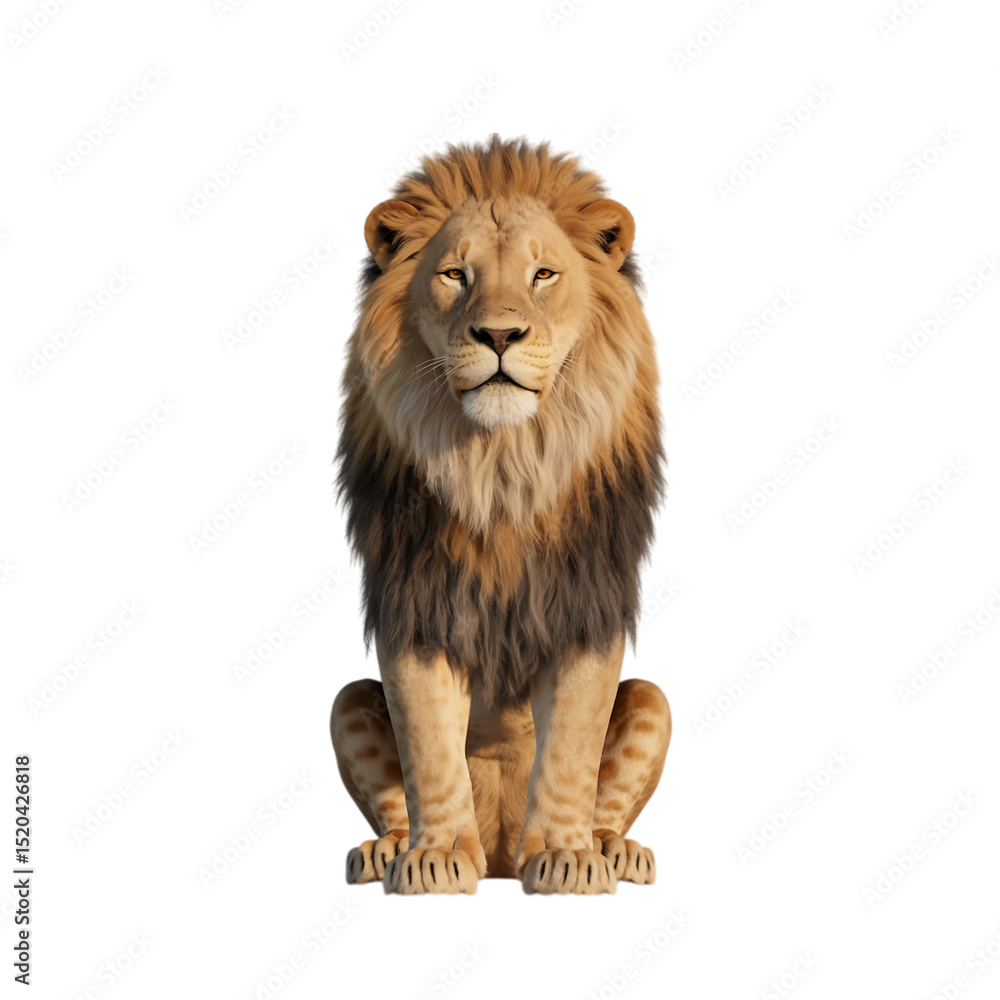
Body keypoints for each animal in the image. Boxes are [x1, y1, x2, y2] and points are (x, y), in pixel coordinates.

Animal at [330, 136, 671, 894]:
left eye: (543, 274)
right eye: (455, 274)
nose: (498, 334)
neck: (503, 466)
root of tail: (503, 855)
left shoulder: (586, 604)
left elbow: (572, 744)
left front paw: (569, 858)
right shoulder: (415, 604)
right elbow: (429, 748)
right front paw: (434, 858)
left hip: (652, 698)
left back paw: (613, 850)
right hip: (347, 699)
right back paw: (390, 850)